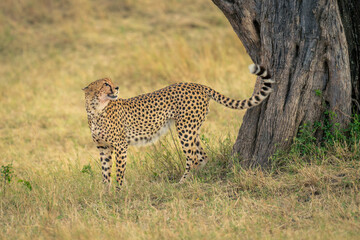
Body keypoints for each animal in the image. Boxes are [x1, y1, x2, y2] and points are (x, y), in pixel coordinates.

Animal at [83, 64, 272, 188]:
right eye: (105, 83)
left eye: (111, 81)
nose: (117, 87)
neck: (96, 110)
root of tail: (197, 84)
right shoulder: (103, 147)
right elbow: (105, 171)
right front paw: (105, 194)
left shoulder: (120, 145)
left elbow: (119, 171)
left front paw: (118, 192)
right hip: (192, 129)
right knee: (202, 156)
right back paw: (197, 178)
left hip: (185, 129)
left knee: (193, 157)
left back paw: (182, 183)